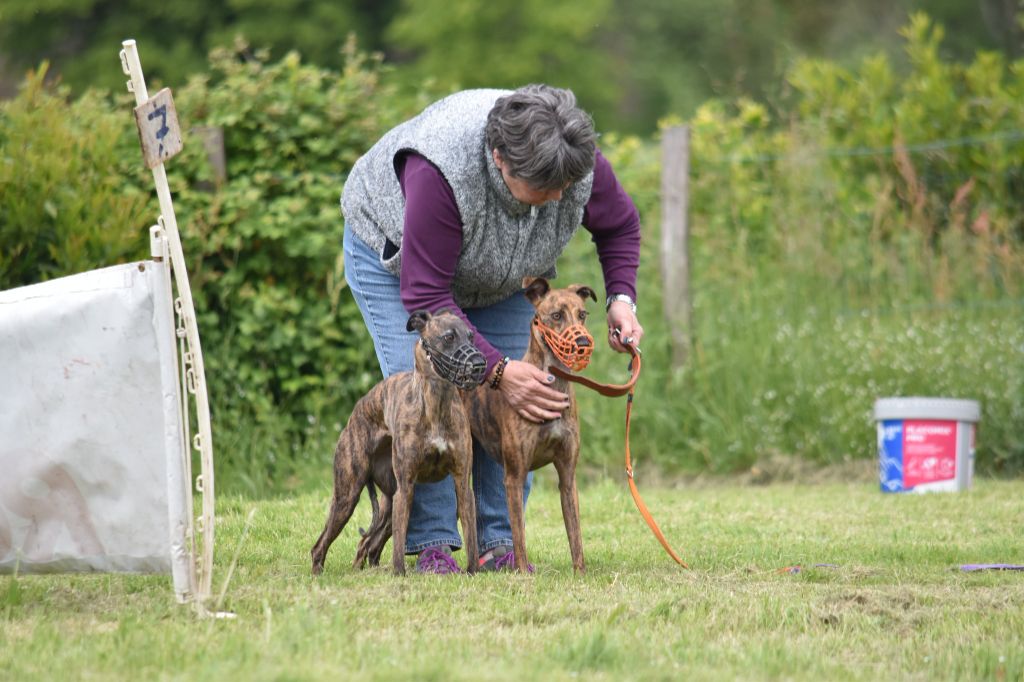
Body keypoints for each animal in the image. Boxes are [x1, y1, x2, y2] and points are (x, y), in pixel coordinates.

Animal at [462, 278, 598, 573]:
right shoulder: (514, 476)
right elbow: (519, 536)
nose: (582, 341)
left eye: (583, 314)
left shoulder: (567, 476)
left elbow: (576, 535)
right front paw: (523, 573)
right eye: (556, 316)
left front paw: (580, 573)